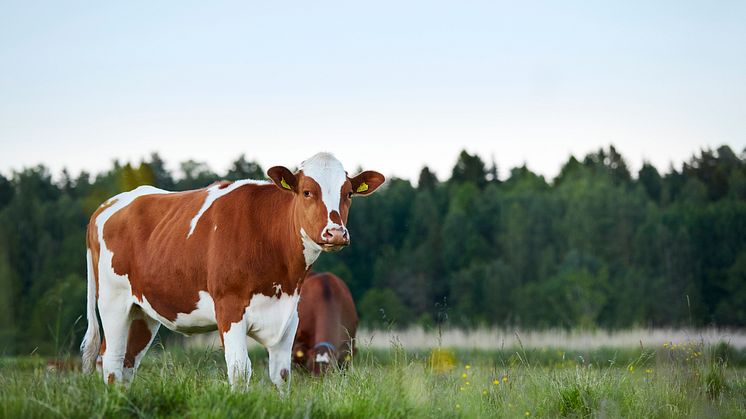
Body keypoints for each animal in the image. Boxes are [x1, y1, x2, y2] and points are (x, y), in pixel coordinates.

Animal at [80, 152, 384, 390]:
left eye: (348, 194)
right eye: (307, 192)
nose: (336, 233)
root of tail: (109, 204)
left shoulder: (289, 318)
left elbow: (282, 375)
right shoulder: (229, 309)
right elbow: (240, 371)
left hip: (142, 311)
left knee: (127, 362)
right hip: (113, 302)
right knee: (111, 361)